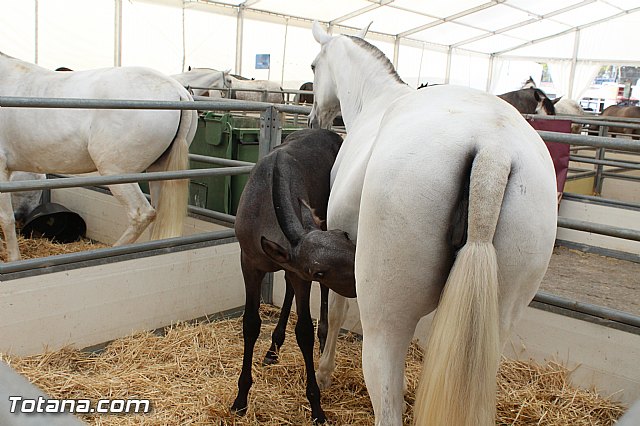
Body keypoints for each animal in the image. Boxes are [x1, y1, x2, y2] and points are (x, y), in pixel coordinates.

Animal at [0, 51, 197, 262]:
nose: (23, 216)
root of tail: (177, 90)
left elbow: (5, 218)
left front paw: (13, 258)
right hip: (158, 172)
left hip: (117, 173)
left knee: (142, 214)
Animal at [231, 128, 356, 423]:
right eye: (319, 269)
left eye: (345, 236)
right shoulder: (250, 263)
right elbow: (251, 324)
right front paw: (241, 398)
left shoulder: (301, 276)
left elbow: (304, 332)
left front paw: (317, 407)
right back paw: (273, 348)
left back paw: (321, 341)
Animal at [308, 21, 558, 426]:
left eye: (315, 66)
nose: (314, 118)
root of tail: (493, 149)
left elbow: (336, 309)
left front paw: (324, 372)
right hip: (498, 322)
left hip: (385, 324)